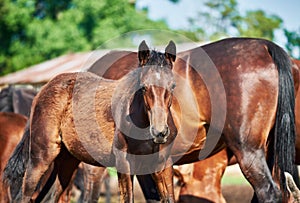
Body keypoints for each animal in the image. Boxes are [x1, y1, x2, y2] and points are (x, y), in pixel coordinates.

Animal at [3, 40, 177, 202]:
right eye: (143, 87)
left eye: (173, 85)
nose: (160, 132)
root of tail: (41, 92)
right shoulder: (124, 162)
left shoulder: (161, 165)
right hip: (41, 157)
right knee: (24, 196)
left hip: (66, 161)